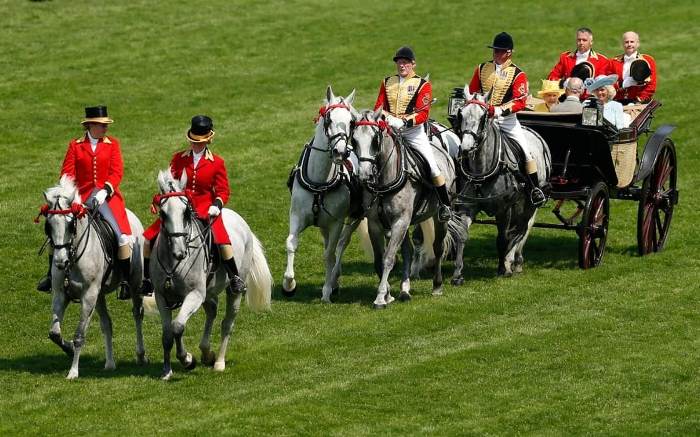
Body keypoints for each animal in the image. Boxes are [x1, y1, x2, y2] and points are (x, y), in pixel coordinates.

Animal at [40, 174, 147, 378]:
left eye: (71, 224)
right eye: (48, 226)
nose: (60, 262)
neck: (73, 257)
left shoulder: (88, 296)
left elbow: (79, 335)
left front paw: (73, 371)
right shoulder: (60, 294)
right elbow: (54, 333)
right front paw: (68, 349)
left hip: (134, 283)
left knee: (137, 314)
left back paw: (141, 355)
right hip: (100, 295)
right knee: (107, 324)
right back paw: (110, 363)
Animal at [150, 169, 270, 380]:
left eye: (186, 212)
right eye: (163, 213)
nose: (180, 252)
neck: (174, 262)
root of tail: (238, 219)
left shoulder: (195, 294)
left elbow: (177, 327)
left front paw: (187, 360)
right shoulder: (161, 295)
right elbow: (167, 334)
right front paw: (166, 371)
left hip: (233, 291)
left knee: (227, 323)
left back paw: (219, 362)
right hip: (208, 290)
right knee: (212, 310)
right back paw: (207, 353)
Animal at [284, 85, 360, 304]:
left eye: (351, 121)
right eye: (328, 119)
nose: (340, 152)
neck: (320, 182)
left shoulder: (336, 223)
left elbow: (328, 254)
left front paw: (326, 291)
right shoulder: (296, 216)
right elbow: (291, 244)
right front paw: (289, 284)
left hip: (355, 218)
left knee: (340, 245)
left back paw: (333, 280)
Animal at [350, 108, 460, 306]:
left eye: (375, 140)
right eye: (353, 140)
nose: (364, 175)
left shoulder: (400, 221)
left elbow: (388, 258)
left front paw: (380, 298)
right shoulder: (375, 224)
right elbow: (380, 259)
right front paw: (388, 294)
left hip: (439, 218)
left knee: (438, 247)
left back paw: (437, 285)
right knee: (408, 251)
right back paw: (405, 290)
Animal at [454, 90, 552, 274]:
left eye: (483, 116)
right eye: (460, 113)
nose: (466, 147)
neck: (482, 171)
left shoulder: (504, 208)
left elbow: (503, 237)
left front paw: (503, 268)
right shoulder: (467, 205)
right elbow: (460, 234)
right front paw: (457, 272)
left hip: (529, 203)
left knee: (523, 228)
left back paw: (514, 260)